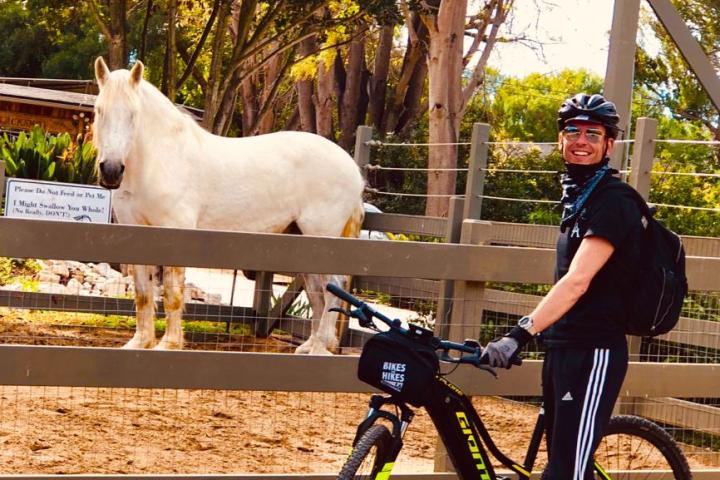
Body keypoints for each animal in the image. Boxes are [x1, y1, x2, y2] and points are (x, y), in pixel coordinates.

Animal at [92, 57, 364, 355]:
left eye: (133, 114)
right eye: (99, 110)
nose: (111, 171)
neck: (161, 160)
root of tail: (353, 168)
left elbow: (173, 293)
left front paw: (169, 344)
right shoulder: (137, 233)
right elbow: (143, 293)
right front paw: (140, 342)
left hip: (323, 238)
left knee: (333, 287)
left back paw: (321, 347)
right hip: (305, 242)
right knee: (317, 292)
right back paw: (309, 346)